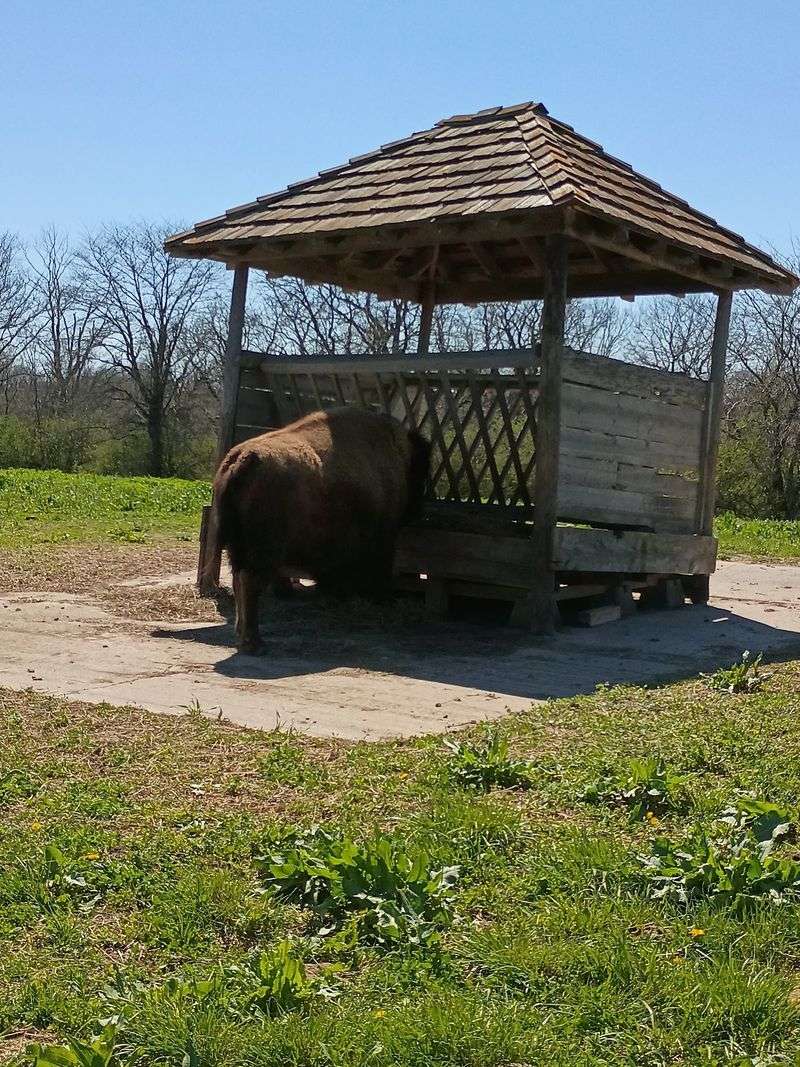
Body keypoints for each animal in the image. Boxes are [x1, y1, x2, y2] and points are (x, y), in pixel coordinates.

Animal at [214, 406, 431, 653]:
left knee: (238, 580)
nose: (418, 509)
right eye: (420, 474)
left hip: (238, 548)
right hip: (263, 551)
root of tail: (242, 460)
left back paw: (242, 635)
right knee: (250, 582)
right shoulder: (381, 539)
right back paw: (255, 643)